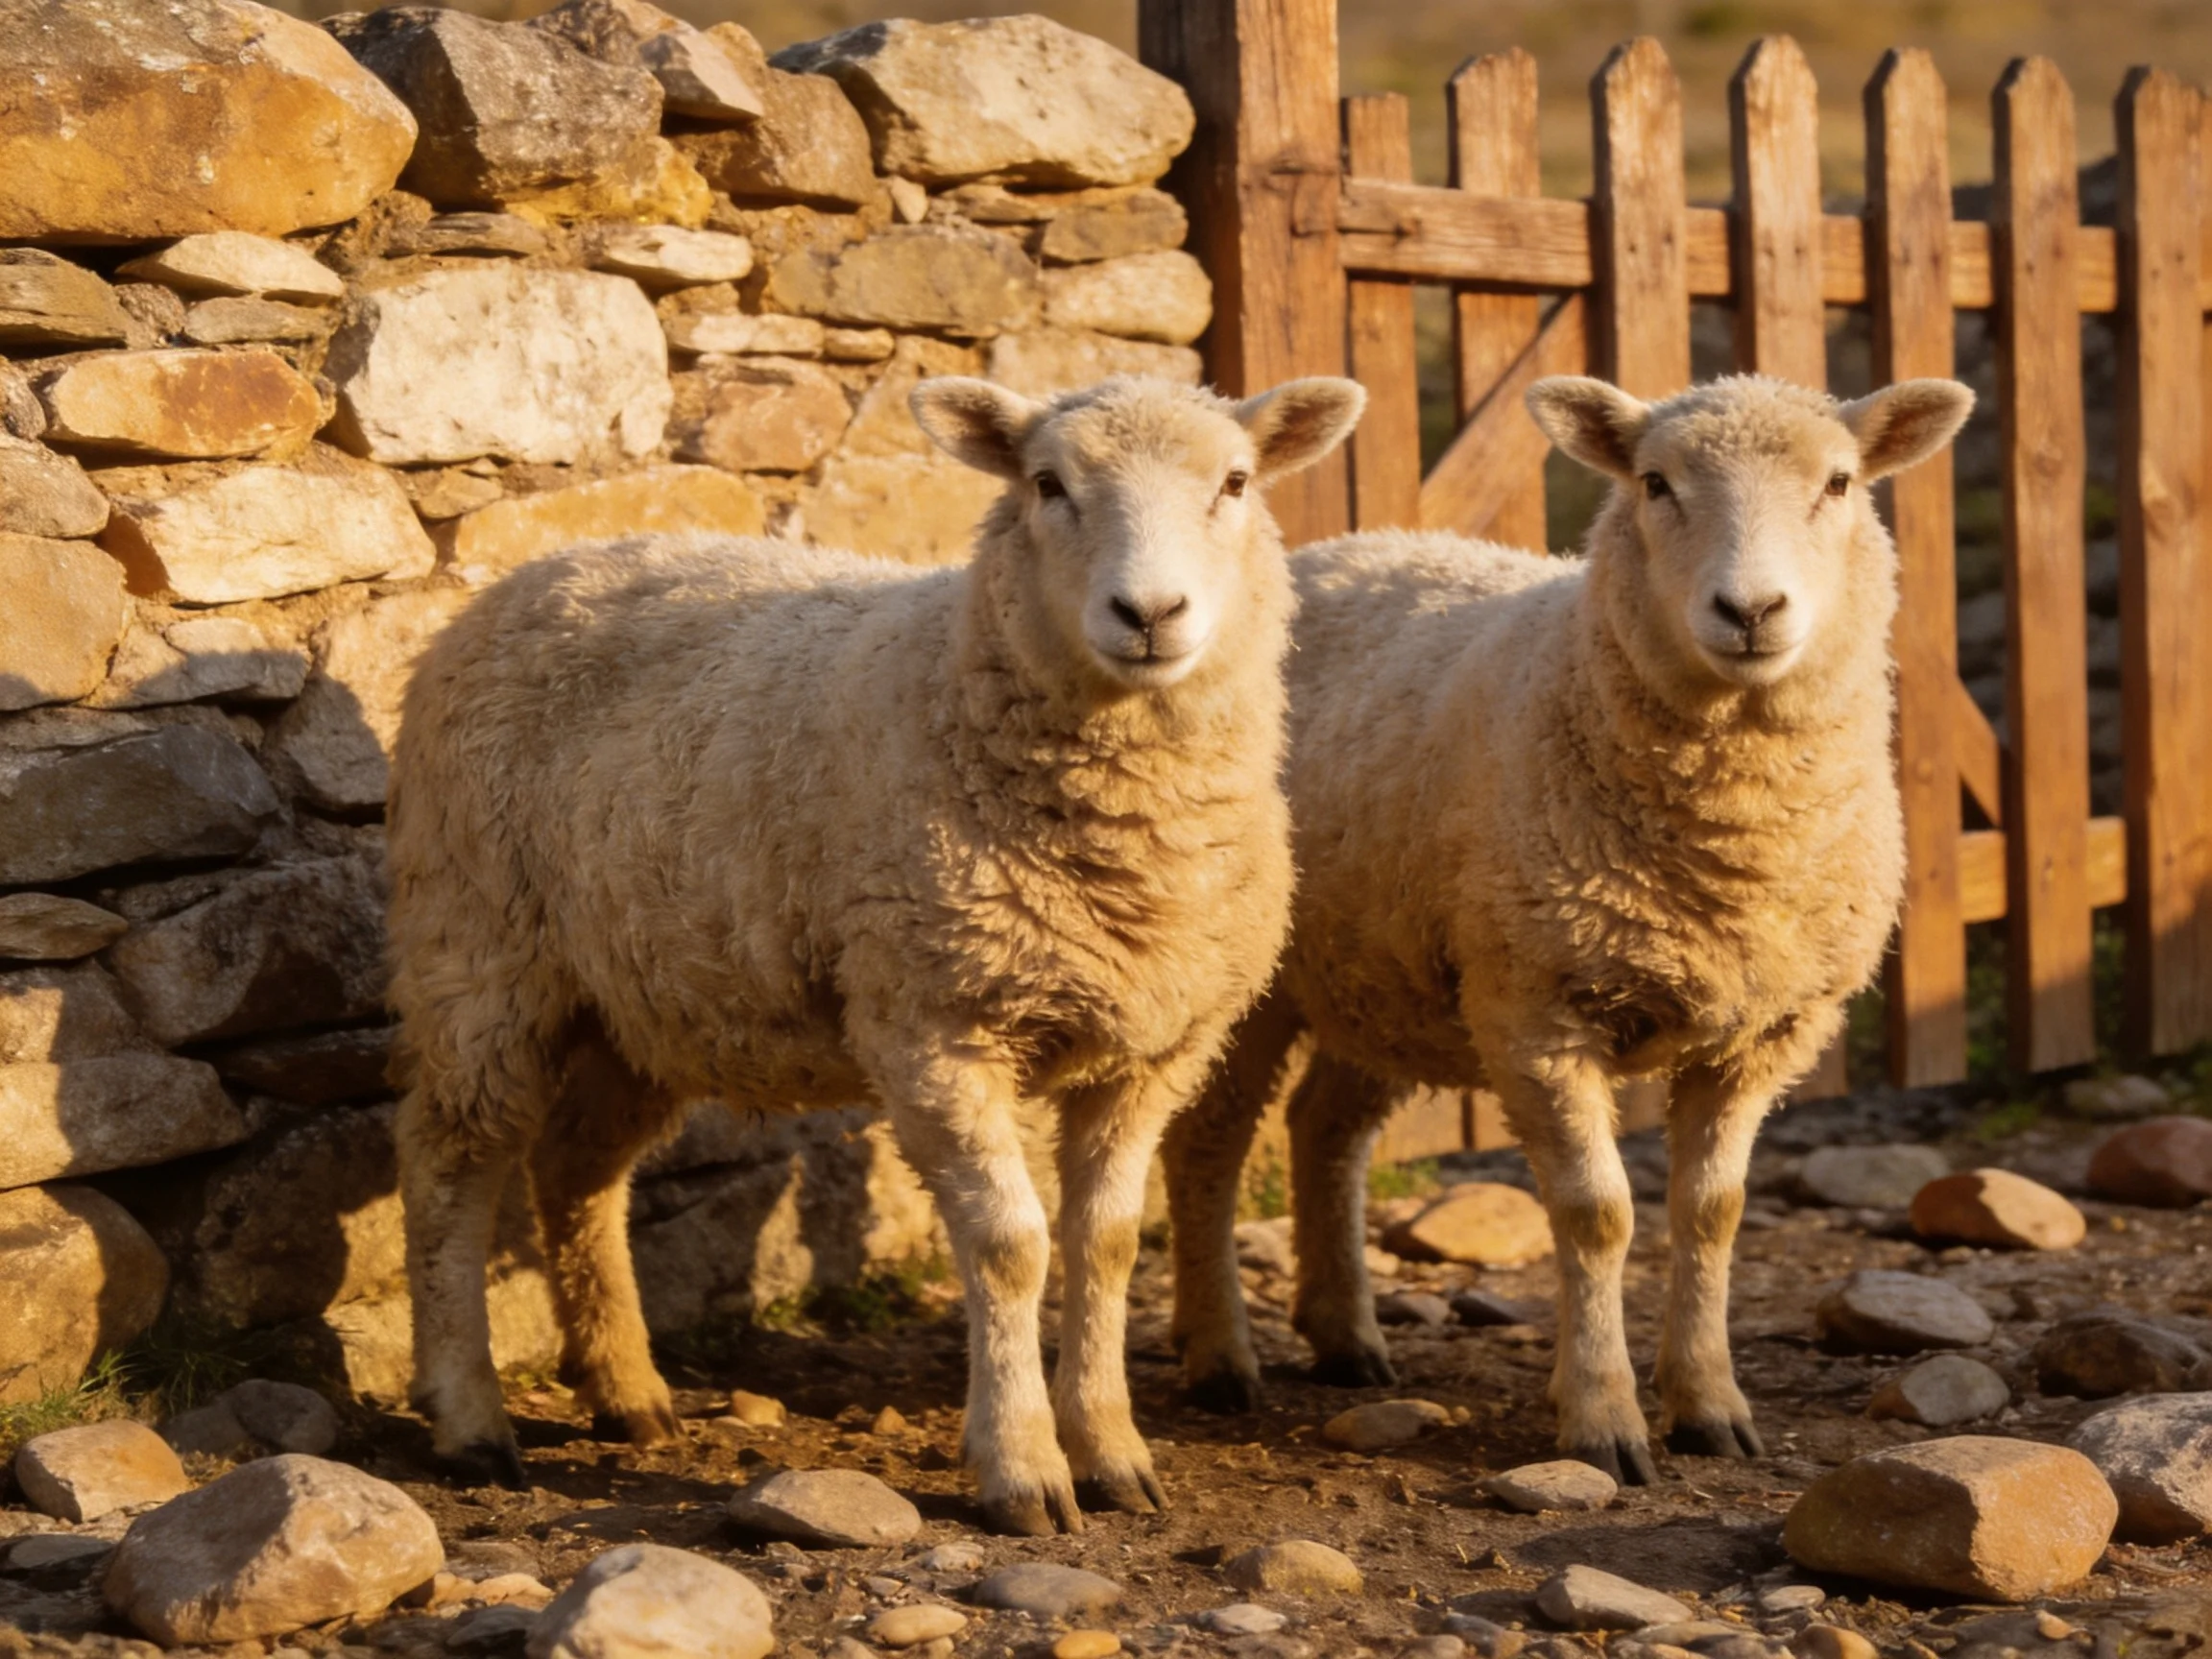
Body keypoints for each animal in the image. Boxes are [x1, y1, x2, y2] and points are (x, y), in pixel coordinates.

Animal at [385, 372, 1366, 1535]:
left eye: (1237, 482)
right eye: (1048, 483)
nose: (1150, 615)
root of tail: (542, 569)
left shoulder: (1152, 1049)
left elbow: (1110, 1242)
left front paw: (1114, 1452)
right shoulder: (935, 1023)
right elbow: (1011, 1245)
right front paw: (1022, 1468)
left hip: (643, 993)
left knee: (576, 1168)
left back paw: (626, 1390)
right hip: (481, 948)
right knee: (450, 1164)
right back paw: (469, 1419)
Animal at [1162, 372, 1973, 1482]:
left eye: (1841, 483)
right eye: (1655, 483)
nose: (1751, 610)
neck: (1730, 838)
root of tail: (1338, 548)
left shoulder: (1766, 1032)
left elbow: (1712, 1214)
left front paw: (1710, 1405)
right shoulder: (1537, 1011)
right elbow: (1598, 1216)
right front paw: (1602, 1419)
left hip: (1388, 968)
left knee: (1326, 1128)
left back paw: (1345, 1338)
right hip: (1262, 970)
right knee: (1207, 1142)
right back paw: (1218, 1358)